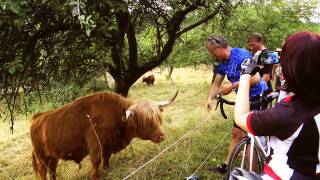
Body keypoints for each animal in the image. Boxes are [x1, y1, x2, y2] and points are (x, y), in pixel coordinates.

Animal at [29, 90, 178, 179]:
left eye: (158, 117)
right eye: (145, 119)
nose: (161, 136)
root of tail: (37, 117)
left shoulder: (107, 145)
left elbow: (106, 158)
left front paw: (107, 169)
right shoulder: (95, 145)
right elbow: (96, 163)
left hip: (52, 157)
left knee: (52, 171)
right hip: (42, 158)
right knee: (43, 172)